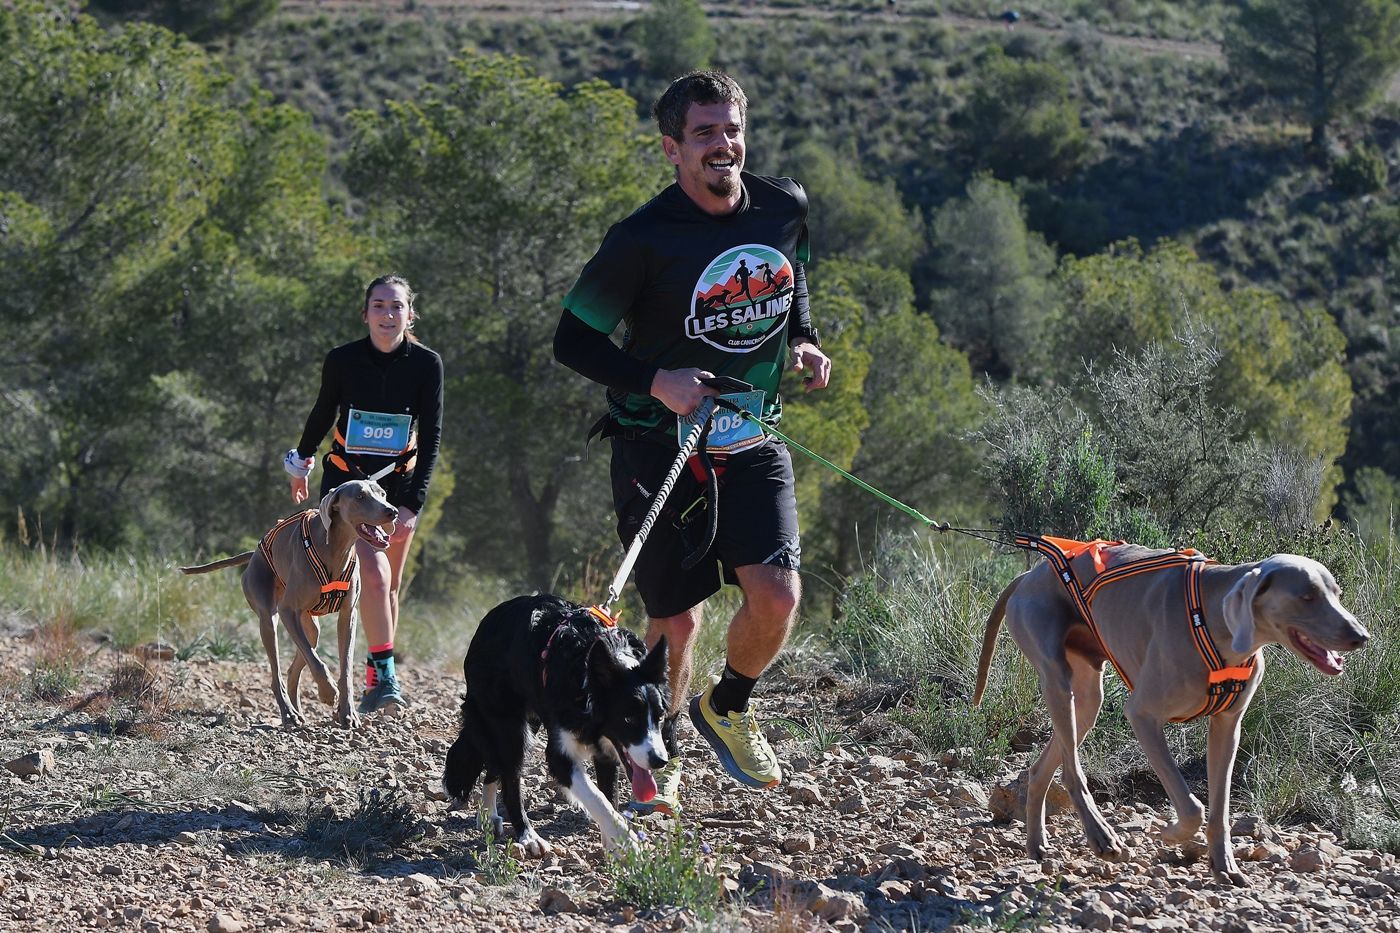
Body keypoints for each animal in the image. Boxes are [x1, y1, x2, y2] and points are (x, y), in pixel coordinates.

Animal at [180, 479, 397, 728]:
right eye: (360, 497)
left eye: (383, 494)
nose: (392, 511)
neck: (335, 549)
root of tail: (254, 554)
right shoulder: (287, 611)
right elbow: (318, 662)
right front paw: (327, 693)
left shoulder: (347, 615)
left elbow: (345, 668)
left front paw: (347, 712)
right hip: (269, 618)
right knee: (277, 674)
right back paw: (289, 713)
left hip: (309, 626)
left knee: (296, 666)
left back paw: (297, 710)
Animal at [974, 540, 1366, 885]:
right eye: (1307, 596)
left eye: (1337, 593)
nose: (1361, 636)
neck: (1213, 621)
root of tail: (1028, 575)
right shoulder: (1142, 715)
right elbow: (1193, 808)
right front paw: (1172, 833)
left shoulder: (1228, 726)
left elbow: (1219, 808)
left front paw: (1223, 865)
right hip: (1055, 674)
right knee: (1072, 771)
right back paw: (1102, 837)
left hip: (1087, 699)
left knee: (1042, 765)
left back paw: (1037, 843)